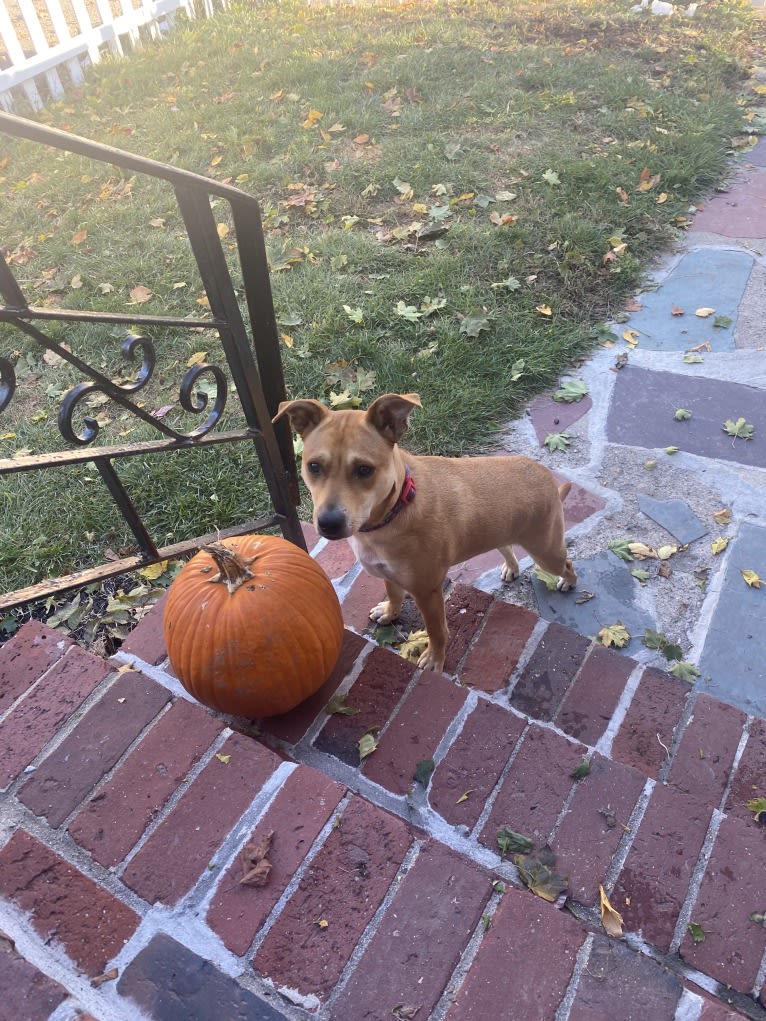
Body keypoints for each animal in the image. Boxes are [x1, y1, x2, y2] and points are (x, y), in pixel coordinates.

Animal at [273, 390, 580, 669]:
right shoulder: (389, 575)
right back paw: (511, 567)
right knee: (505, 545)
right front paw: (390, 612)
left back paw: (568, 582)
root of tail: (547, 477)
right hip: (502, 530)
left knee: (566, 563)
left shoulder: (428, 592)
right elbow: (394, 594)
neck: (394, 511)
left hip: (546, 551)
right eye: (314, 466)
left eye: (364, 470)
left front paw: (435, 659)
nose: (329, 522)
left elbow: (436, 631)